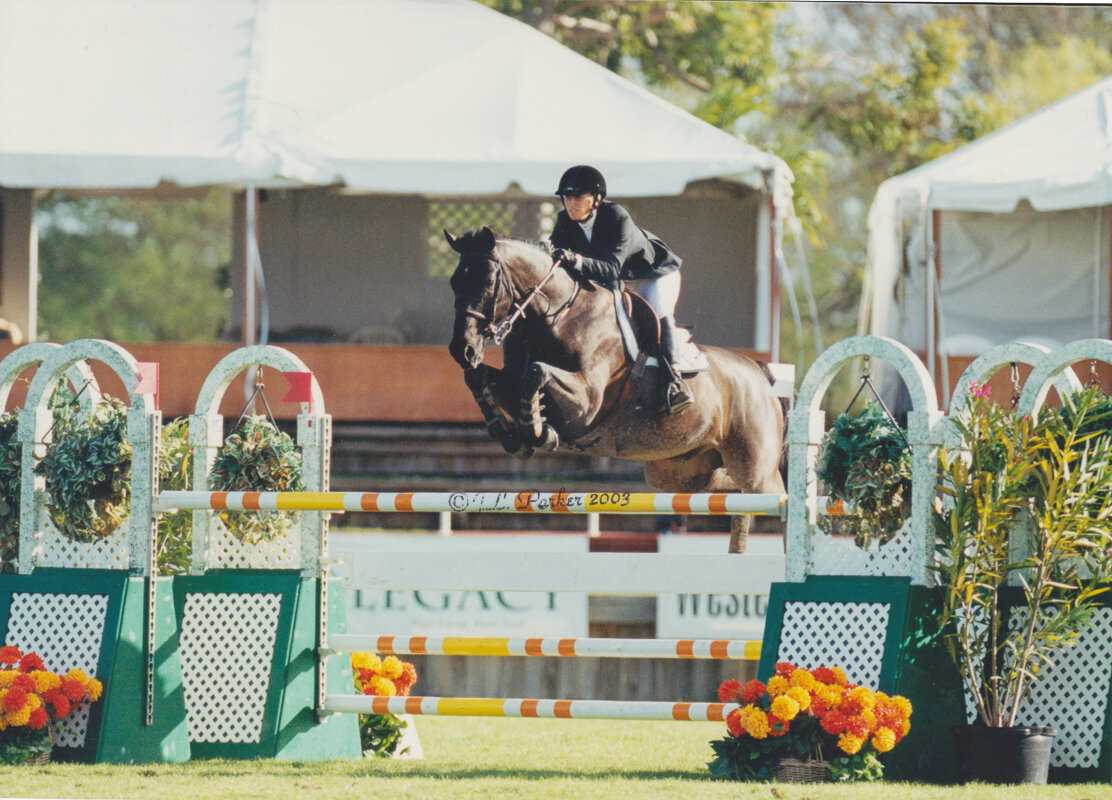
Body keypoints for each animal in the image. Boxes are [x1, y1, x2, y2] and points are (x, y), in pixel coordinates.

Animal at [447, 224, 787, 551]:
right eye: (454, 282)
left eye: (488, 283)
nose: (461, 350)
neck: (555, 315)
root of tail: (761, 373)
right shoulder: (512, 380)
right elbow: (478, 378)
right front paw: (507, 432)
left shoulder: (586, 403)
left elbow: (536, 373)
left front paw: (537, 431)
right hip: (680, 472)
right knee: (729, 488)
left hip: (754, 470)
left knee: (778, 497)